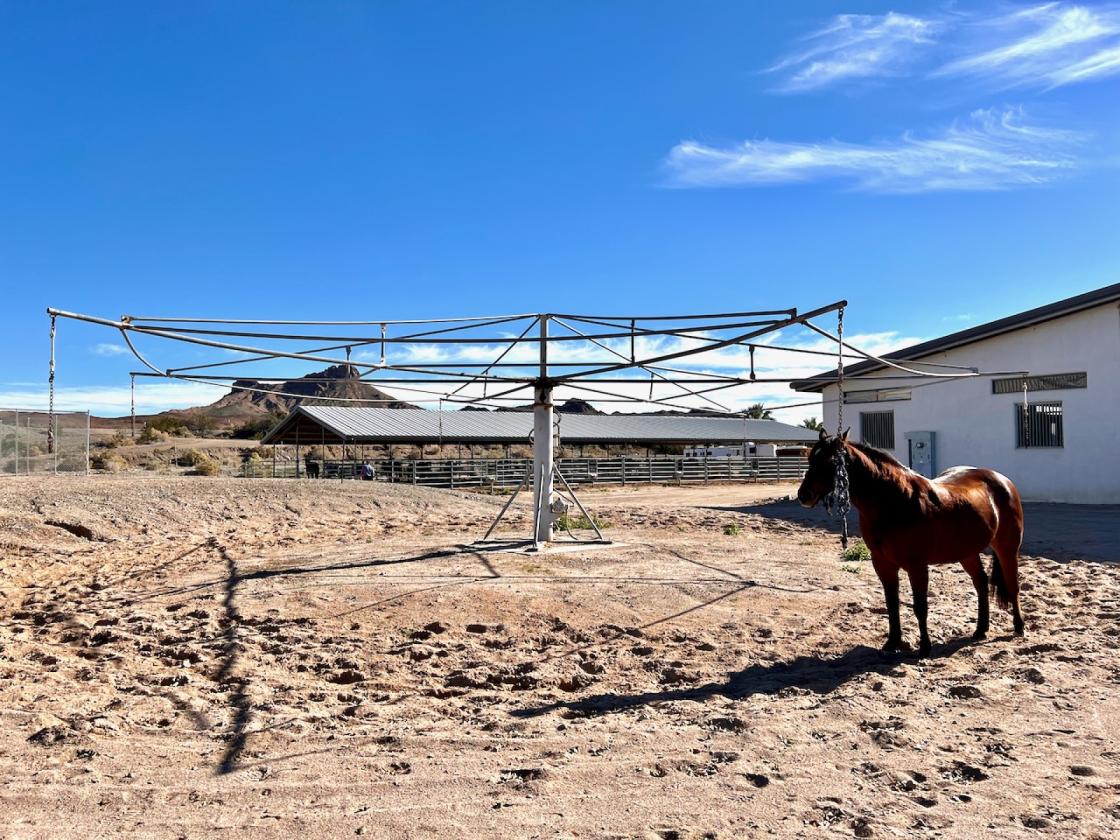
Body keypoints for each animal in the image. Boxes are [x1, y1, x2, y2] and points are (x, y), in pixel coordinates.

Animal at [797, 429, 1025, 656]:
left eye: (831, 461)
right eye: (810, 459)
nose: (804, 495)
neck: (895, 501)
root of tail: (1003, 480)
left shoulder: (917, 566)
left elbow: (920, 606)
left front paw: (924, 647)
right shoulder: (883, 564)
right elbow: (892, 604)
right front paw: (892, 643)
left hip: (1007, 548)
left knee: (1012, 585)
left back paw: (1019, 626)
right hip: (967, 552)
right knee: (981, 583)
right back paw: (980, 630)